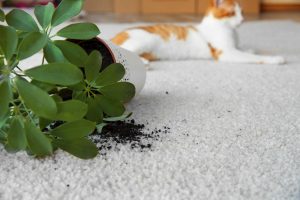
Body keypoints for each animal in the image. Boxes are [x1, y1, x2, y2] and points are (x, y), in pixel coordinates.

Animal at [111, 0, 284, 65]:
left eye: (241, 12)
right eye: (232, 13)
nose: (242, 20)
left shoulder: (233, 48)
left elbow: (244, 50)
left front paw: (250, 48)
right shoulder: (225, 53)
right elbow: (253, 57)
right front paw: (274, 59)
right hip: (141, 42)